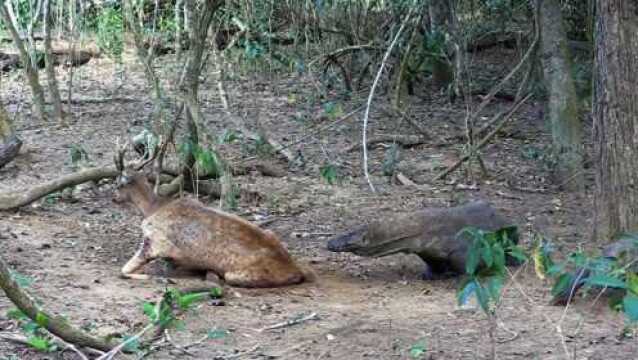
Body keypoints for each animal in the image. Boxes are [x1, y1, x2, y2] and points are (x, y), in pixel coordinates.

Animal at [114, 139, 316, 288]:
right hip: (271, 232)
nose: (113, 197)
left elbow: (123, 271)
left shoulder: (156, 242)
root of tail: (296, 270)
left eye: (118, 184)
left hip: (237, 275)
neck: (152, 208)